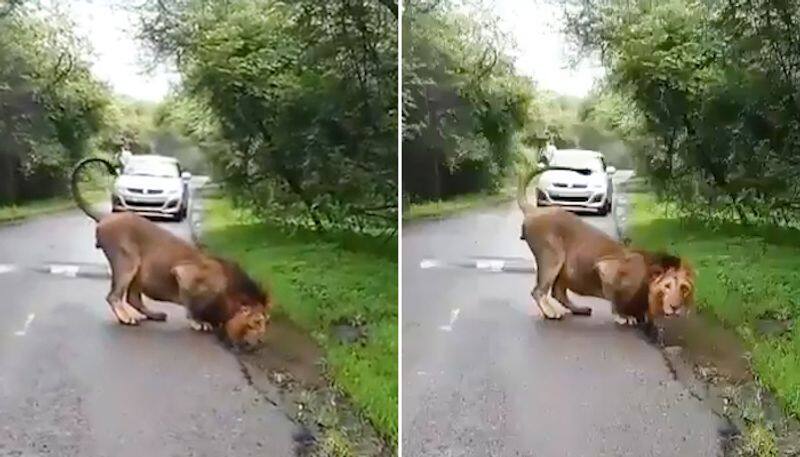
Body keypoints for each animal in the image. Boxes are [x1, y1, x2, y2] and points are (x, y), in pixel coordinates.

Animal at [69, 159, 268, 348]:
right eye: (256, 323)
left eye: (265, 323)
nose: (260, 342)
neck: (230, 295)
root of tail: (107, 217)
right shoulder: (186, 275)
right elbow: (191, 305)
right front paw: (199, 322)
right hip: (127, 261)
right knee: (114, 296)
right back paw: (126, 318)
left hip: (137, 271)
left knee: (133, 299)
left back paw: (153, 315)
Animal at [520, 164, 692, 324]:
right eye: (667, 286)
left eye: (684, 288)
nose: (676, 307)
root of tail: (534, 210)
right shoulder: (607, 269)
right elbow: (615, 298)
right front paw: (624, 317)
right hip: (552, 257)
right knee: (538, 291)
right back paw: (551, 313)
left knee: (558, 292)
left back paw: (579, 309)